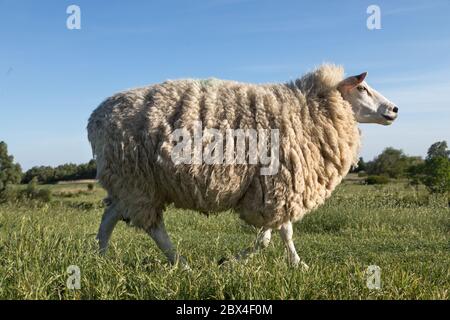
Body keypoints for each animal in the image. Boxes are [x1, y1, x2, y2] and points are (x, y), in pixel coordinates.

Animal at [87, 63, 398, 268]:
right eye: (362, 88)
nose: (394, 109)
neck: (309, 108)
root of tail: (95, 118)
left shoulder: (271, 189)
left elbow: (273, 235)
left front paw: (287, 263)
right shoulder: (278, 186)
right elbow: (273, 236)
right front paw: (238, 263)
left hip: (131, 183)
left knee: (110, 216)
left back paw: (100, 258)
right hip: (138, 179)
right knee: (152, 228)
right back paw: (180, 263)